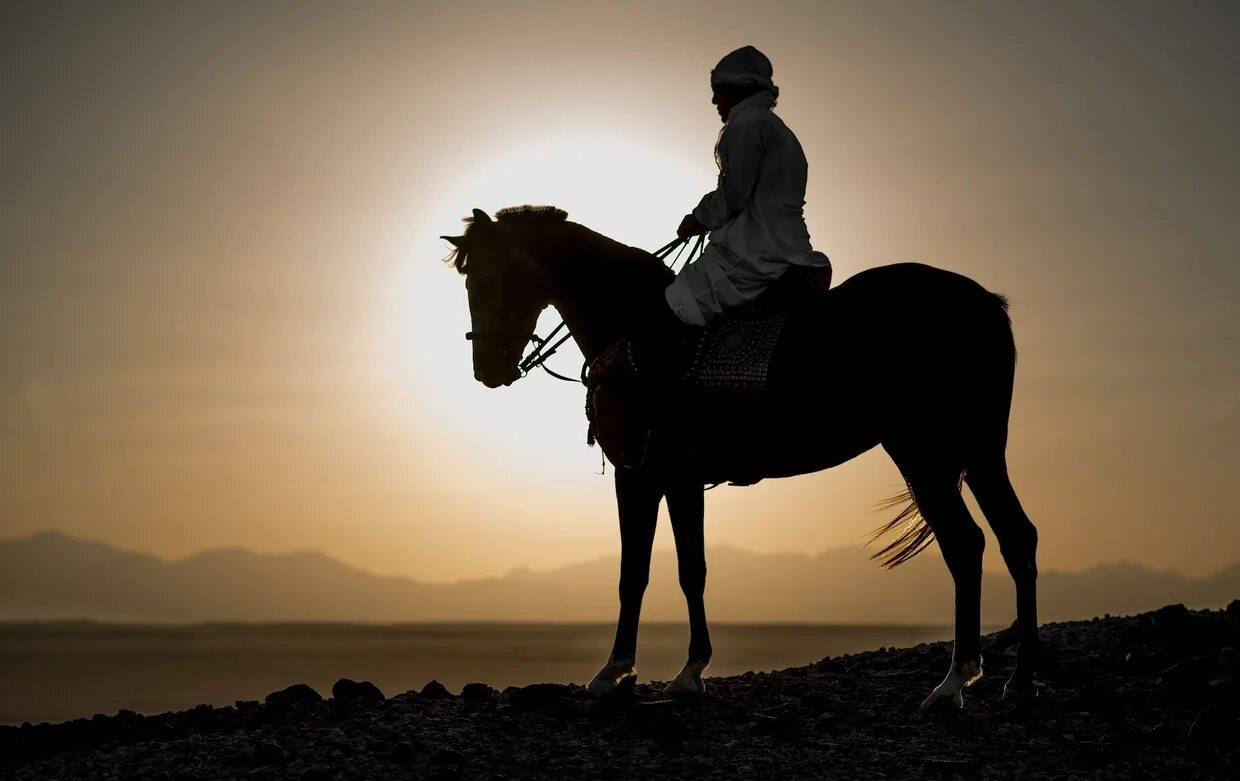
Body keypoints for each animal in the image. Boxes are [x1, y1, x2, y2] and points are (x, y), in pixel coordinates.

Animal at [441, 204, 1041, 714]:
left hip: (921, 450)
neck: (636, 331)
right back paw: (1019, 681)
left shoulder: (651, 475)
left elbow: (664, 570)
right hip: (980, 452)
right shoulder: (665, 478)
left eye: (487, 280)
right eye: (465, 284)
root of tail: (983, 303)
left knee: (964, 544)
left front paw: (657, 673)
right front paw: (639, 671)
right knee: (1014, 538)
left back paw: (952, 684)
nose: (487, 368)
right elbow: (661, 571)